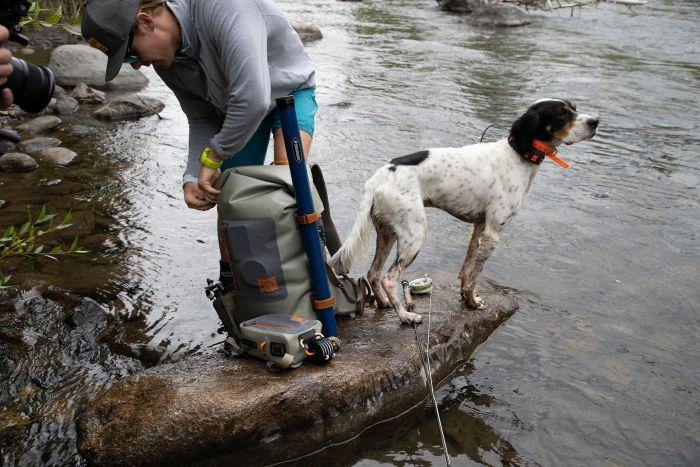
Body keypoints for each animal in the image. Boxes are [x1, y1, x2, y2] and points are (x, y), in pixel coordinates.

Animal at [330, 98, 600, 326]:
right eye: (562, 113)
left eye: (574, 108)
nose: (595, 121)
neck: (516, 155)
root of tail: (377, 178)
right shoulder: (492, 233)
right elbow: (473, 277)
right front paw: (472, 302)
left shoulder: (479, 228)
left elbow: (467, 269)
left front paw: (466, 299)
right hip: (414, 234)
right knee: (388, 277)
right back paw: (406, 316)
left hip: (387, 232)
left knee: (373, 273)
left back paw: (385, 303)